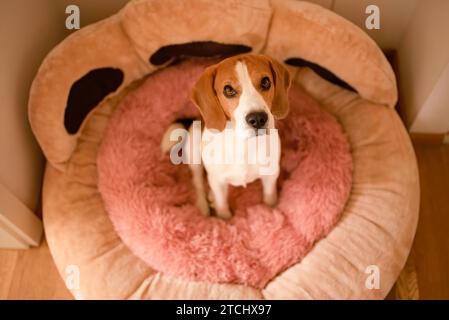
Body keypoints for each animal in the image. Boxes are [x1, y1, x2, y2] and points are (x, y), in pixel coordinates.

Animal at [163, 54, 292, 220]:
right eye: (228, 90)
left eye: (265, 82)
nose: (258, 119)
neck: (243, 144)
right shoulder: (218, 183)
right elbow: (222, 204)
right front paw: (224, 220)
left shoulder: (270, 175)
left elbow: (269, 197)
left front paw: (271, 211)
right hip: (195, 151)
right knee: (198, 182)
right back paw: (203, 206)